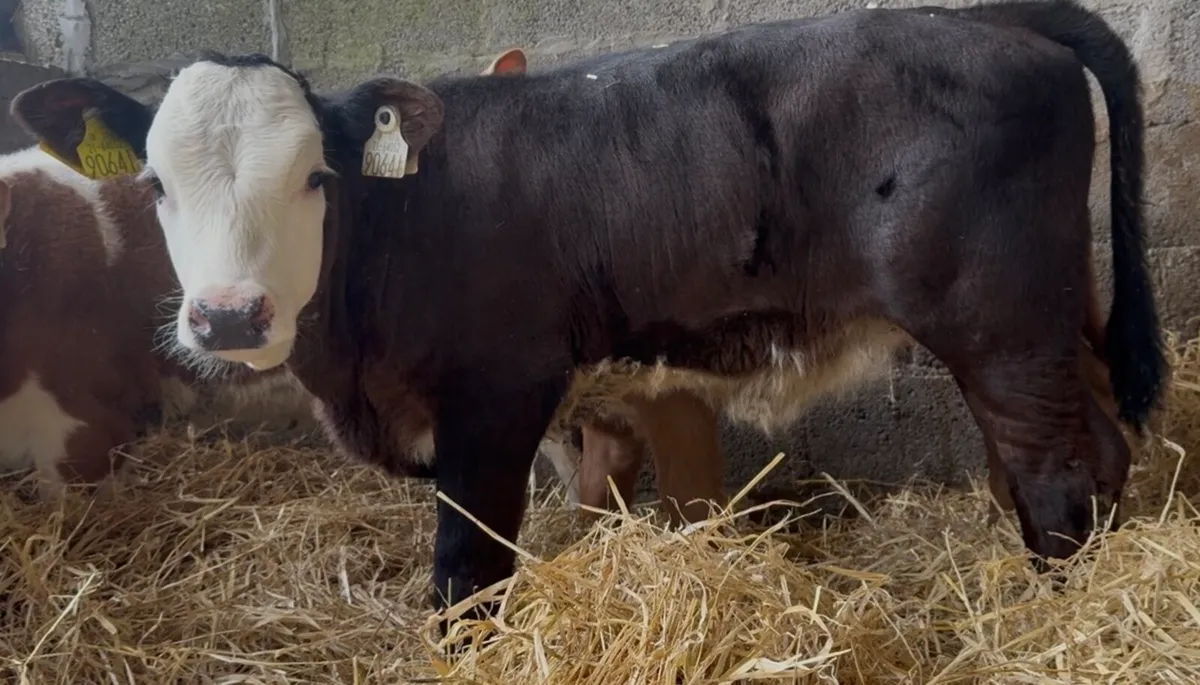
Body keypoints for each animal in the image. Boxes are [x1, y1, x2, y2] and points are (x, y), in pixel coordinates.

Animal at [12, 0, 1165, 635]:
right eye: (155, 184)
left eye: (314, 177)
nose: (227, 319)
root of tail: (983, 18)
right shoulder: (583, 395)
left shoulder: (495, 396)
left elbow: (467, 572)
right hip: (1057, 315)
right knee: (1096, 451)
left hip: (996, 318)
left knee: (1053, 474)